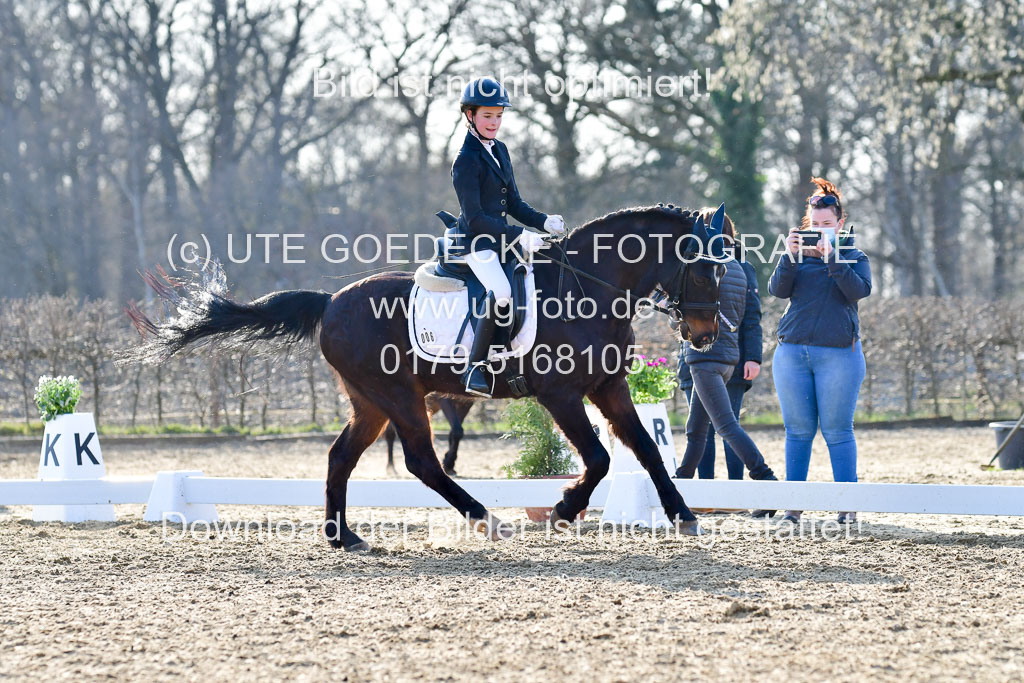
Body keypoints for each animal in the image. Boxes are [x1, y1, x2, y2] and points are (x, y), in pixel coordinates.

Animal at [123, 202, 724, 548]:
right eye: (704, 267)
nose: (705, 335)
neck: (588, 289)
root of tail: (330, 301)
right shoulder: (560, 394)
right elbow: (599, 458)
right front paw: (560, 510)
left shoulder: (608, 387)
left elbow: (645, 449)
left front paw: (683, 515)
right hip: (398, 397)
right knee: (421, 461)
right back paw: (484, 518)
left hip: (370, 402)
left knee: (341, 457)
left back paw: (344, 537)